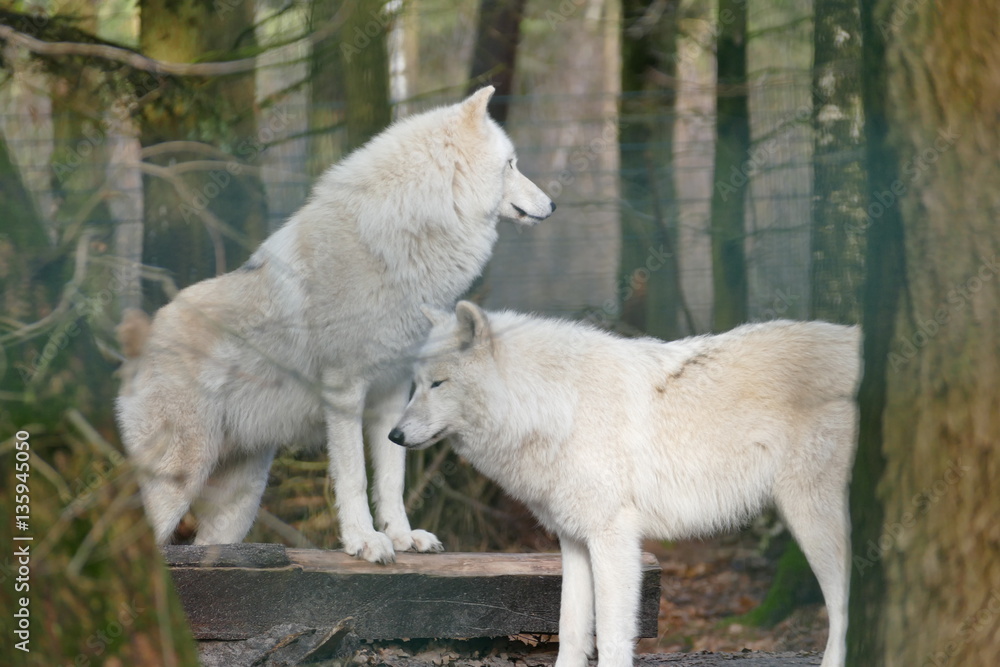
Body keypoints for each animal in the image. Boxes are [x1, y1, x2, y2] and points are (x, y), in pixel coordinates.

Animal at [118, 86, 560, 560]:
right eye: (511, 164)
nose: (553, 204)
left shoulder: (393, 392)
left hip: (239, 505)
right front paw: (364, 540)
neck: (398, 241)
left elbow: (391, 477)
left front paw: (403, 537)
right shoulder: (345, 390)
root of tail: (144, 338)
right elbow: (354, 476)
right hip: (177, 482)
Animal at [390, 302, 860, 667]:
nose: (394, 435)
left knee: (844, 603)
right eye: (416, 385)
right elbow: (571, 627)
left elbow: (614, 635)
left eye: (439, 383)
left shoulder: (613, 537)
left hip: (813, 518)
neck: (556, 406)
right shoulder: (574, 540)